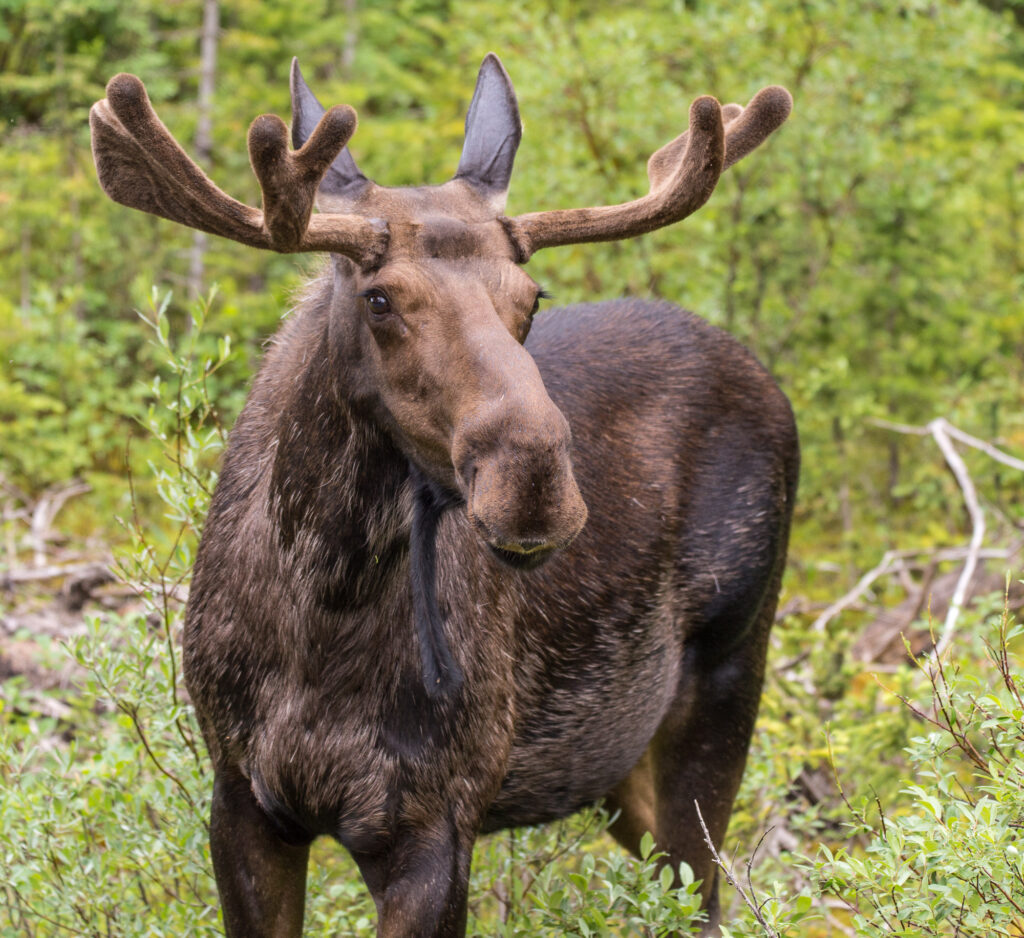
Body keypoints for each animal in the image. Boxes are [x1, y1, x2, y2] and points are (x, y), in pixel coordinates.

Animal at [90, 53, 798, 938]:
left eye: (531, 299)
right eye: (380, 297)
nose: (533, 480)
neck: (326, 612)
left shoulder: (438, 817)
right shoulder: (241, 796)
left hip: (730, 667)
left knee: (701, 890)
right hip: (617, 762)